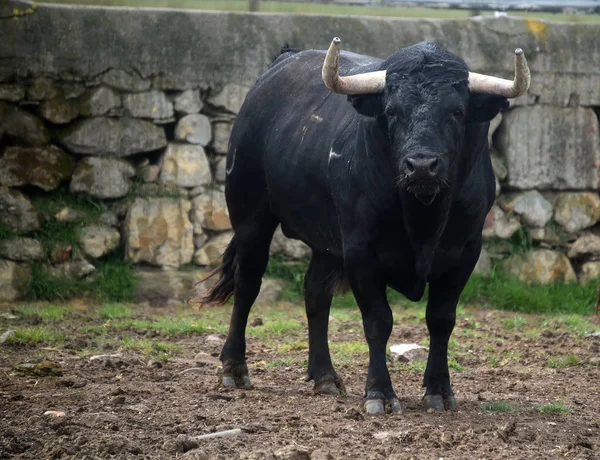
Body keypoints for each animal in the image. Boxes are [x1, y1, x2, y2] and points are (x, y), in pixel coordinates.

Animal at [202, 37, 528, 416]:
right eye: (392, 111)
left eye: (457, 111)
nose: (421, 165)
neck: (422, 218)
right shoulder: (360, 249)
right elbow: (378, 321)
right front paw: (380, 394)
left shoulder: (465, 251)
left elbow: (441, 319)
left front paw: (439, 391)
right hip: (250, 216)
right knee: (248, 284)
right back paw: (234, 369)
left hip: (326, 242)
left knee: (315, 292)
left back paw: (325, 376)